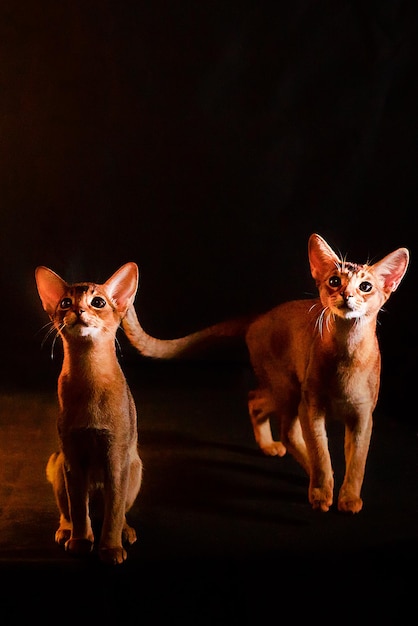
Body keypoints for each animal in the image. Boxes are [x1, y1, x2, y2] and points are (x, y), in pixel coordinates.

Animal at [35, 260, 142, 564]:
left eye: (98, 302)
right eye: (65, 302)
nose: (79, 310)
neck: (89, 374)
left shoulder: (116, 459)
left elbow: (114, 511)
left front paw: (110, 547)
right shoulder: (72, 457)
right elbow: (78, 508)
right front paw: (81, 541)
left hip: (135, 467)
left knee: (117, 511)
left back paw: (126, 531)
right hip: (57, 464)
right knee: (70, 510)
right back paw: (66, 531)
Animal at [121, 234, 408, 512]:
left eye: (366, 286)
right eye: (334, 281)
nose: (347, 294)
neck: (346, 352)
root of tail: (259, 318)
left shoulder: (363, 416)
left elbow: (358, 462)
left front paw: (349, 499)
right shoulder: (312, 408)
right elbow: (321, 453)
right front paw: (321, 492)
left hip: (285, 391)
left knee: (260, 405)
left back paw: (271, 448)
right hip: (287, 388)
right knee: (276, 421)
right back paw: (302, 469)